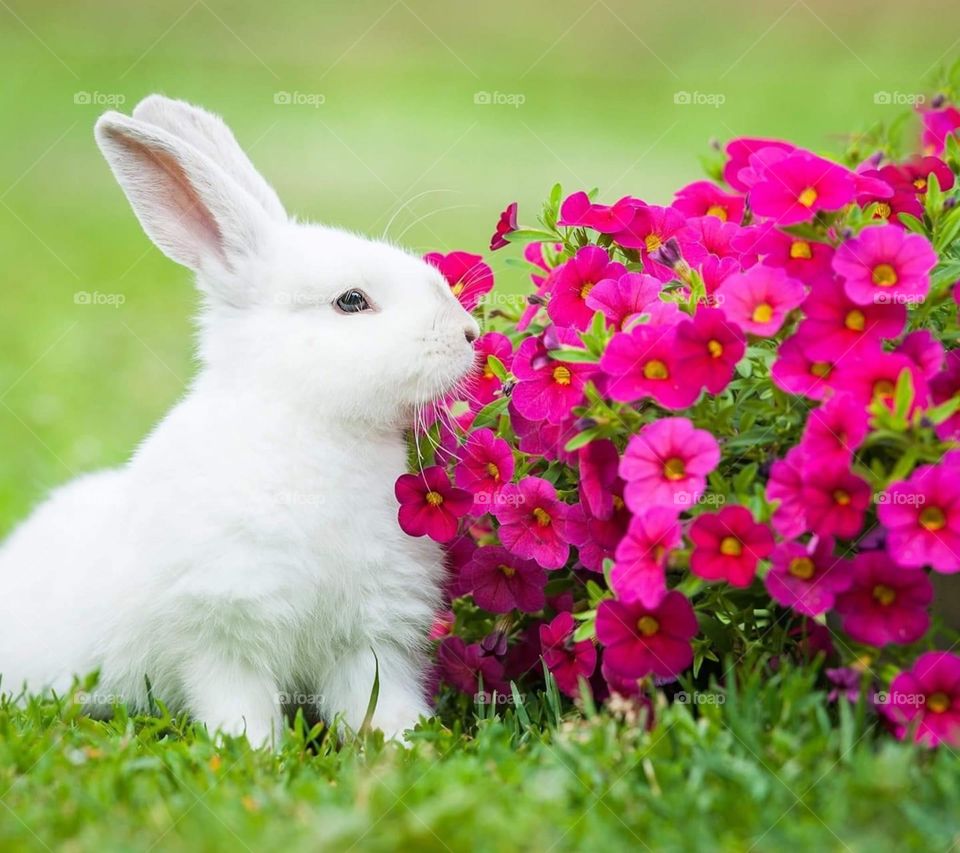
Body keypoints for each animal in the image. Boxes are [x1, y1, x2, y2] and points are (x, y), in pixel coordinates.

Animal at [0, 95, 480, 746]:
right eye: (351, 301)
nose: (470, 334)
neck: (313, 428)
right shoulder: (221, 632)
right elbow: (239, 701)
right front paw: (255, 750)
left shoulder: (369, 636)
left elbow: (377, 701)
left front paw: (404, 743)